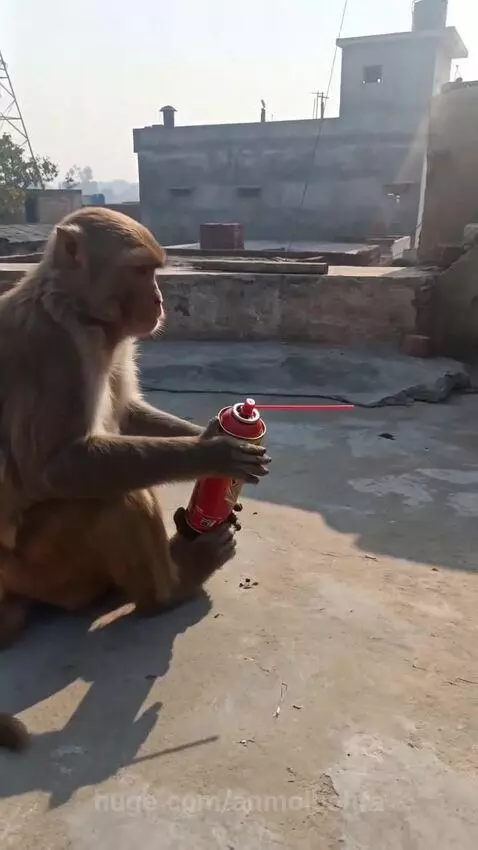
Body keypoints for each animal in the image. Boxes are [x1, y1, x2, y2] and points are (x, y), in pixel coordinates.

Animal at [0, 207, 271, 751]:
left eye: (155, 271)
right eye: (140, 271)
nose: (160, 300)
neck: (80, 312)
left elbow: (125, 414)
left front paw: (221, 435)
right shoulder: (53, 348)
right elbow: (50, 467)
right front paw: (214, 453)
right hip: (39, 567)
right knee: (117, 499)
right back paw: (173, 586)